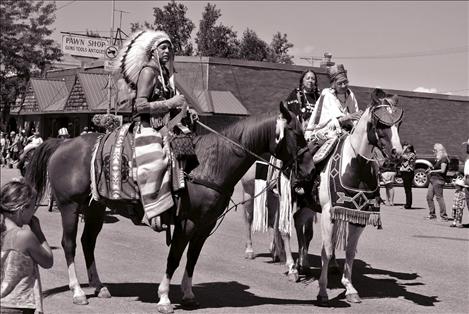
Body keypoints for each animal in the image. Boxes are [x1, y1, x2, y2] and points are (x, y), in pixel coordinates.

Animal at [26, 102, 304, 312]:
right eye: (296, 133)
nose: (307, 170)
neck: (209, 164)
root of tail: (62, 144)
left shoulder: (205, 225)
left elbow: (192, 258)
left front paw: (189, 294)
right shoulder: (186, 223)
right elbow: (174, 257)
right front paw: (164, 298)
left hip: (94, 208)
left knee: (87, 242)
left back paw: (99, 286)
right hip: (69, 206)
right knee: (69, 244)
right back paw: (77, 292)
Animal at [296, 89, 402, 304]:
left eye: (399, 124)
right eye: (380, 123)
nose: (398, 154)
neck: (357, 167)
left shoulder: (357, 215)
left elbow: (350, 251)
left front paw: (350, 288)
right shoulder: (328, 213)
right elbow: (327, 250)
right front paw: (323, 292)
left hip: (307, 205)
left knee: (301, 228)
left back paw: (302, 264)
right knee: (285, 228)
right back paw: (290, 267)